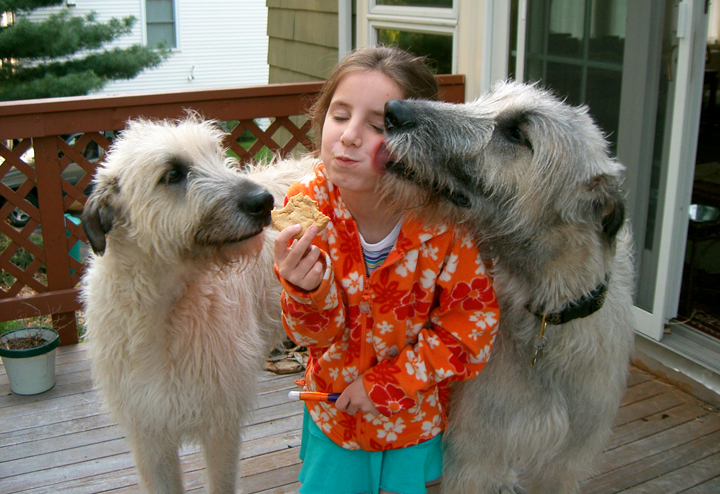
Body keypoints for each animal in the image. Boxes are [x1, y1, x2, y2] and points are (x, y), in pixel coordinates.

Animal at [81, 116, 312, 494]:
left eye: (216, 155)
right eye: (172, 173)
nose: (263, 201)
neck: (163, 312)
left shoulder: (220, 424)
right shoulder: (148, 433)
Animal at [382, 82, 636, 494]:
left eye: (517, 133)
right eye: (486, 99)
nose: (391, 110)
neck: (549, 319)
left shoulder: (565, 462)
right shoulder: (475, 453)